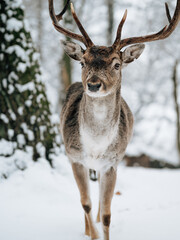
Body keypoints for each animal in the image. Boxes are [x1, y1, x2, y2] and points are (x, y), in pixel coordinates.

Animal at [48, 0, 180, 239]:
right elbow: (85, 203)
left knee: (101, 201)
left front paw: (101, 227)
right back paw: (88, 227)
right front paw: (92, 234)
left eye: (116, 64)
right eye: (83, 62)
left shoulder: (112, 162)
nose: (93, 85)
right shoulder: (75, 157)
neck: (95, 145)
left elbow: (108, 213)